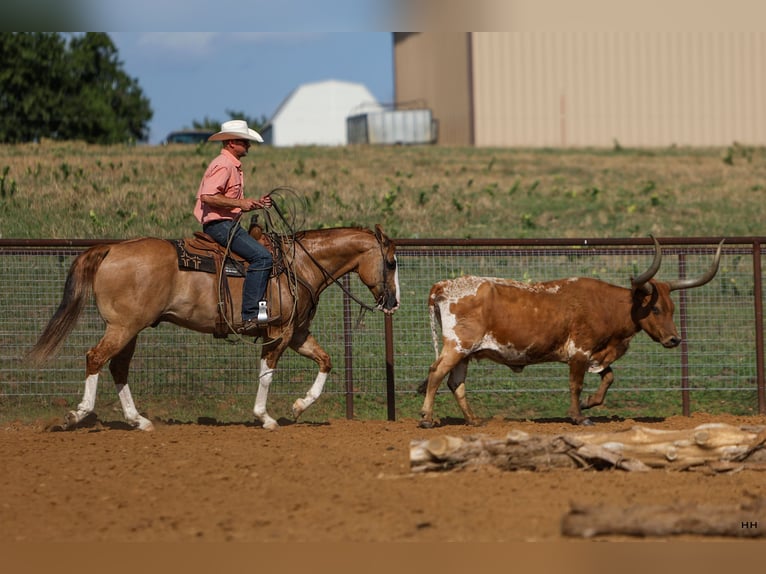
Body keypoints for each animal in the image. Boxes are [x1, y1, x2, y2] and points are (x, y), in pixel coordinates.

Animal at [25, 225, 402, 432]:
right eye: (391, 262)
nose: (395, 302)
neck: (299, 266)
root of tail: (112, 249)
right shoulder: (278, 333)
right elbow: (267, 373)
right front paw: (264, 417)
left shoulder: (296, 334)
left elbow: (325, 361)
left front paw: (299, 405)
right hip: (123, 327)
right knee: (95, 358)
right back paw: (78, 414)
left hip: (130, 330)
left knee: (117, 367)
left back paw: (138, 420)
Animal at [420, 237, 728, 428]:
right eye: (655, 309)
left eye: (672, 308)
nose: (674, 339)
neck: (606, 306)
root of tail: (445, 285)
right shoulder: (580, 352)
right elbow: (575, 384)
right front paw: (579, 416)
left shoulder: (596, 353)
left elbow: (609, 377)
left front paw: (591, 403)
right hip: (457, 346)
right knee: (436, 373)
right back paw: (426, 418)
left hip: (466, 353)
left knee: (455, 382)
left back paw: (473, 420)